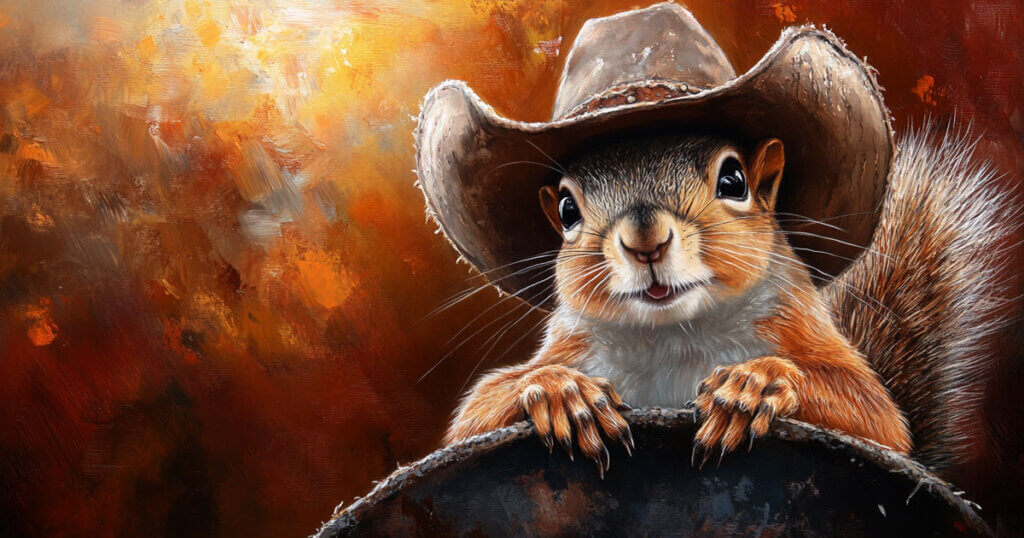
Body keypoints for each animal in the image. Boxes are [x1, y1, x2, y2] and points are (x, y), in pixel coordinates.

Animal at [443, 126, 1011, 472]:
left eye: (734, 180)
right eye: (566, 210)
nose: (646, 242)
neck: (675, 333)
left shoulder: (793, 323)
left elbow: (877, 415)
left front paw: (756, 383)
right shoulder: (574, 344)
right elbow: (473, 414)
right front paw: (561, 391)